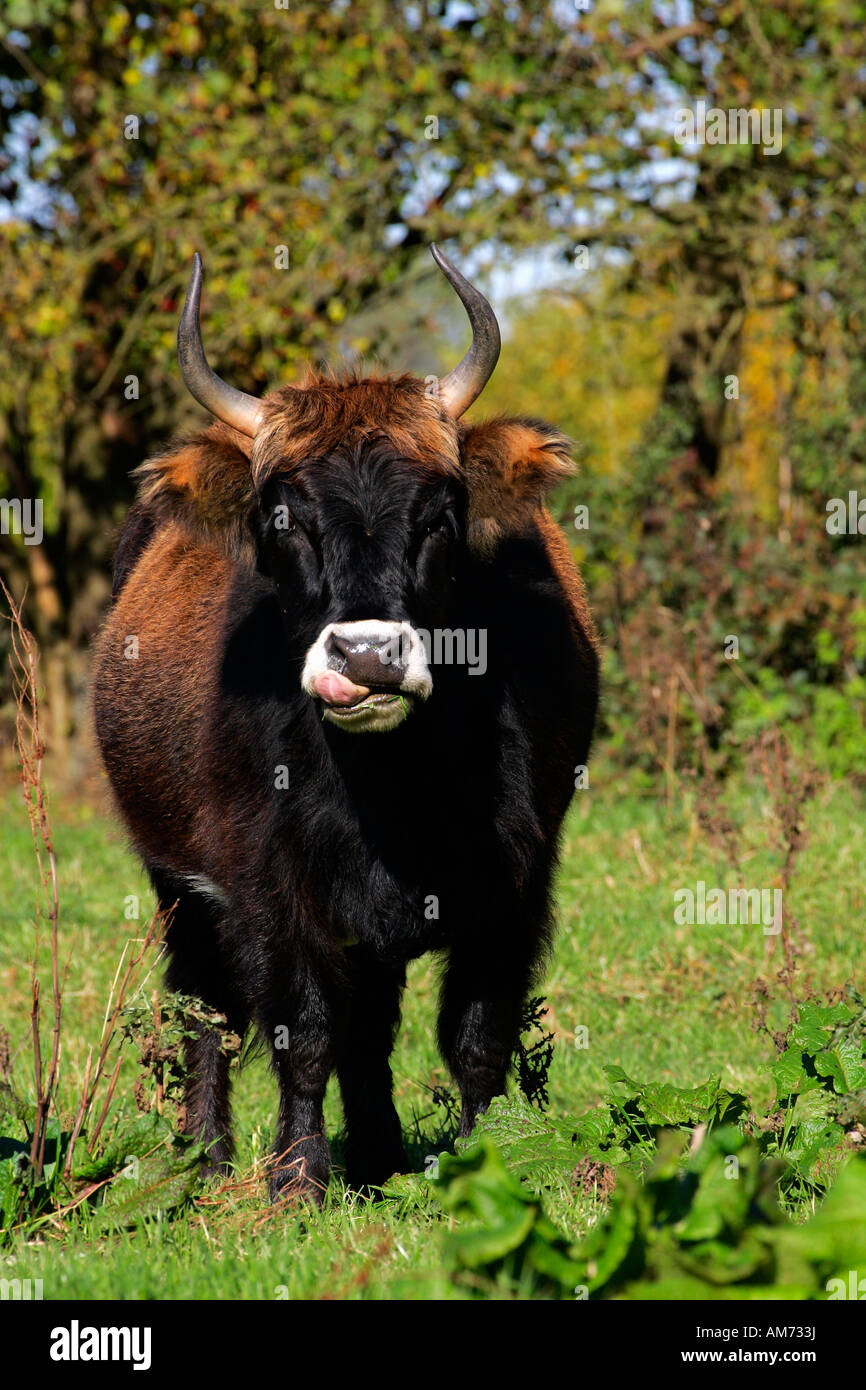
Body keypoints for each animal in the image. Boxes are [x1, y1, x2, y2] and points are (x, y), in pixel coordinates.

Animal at [93, 244, 594, 1200]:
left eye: (439, 514)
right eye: (283, 517)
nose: (367, 658)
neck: (396, 785)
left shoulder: (517, 877)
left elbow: (475, 1036)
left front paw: (483, 1158)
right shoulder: (267, 885)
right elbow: (305, 1032)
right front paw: (296, 1180)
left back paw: (377, 1149)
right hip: (176, 887)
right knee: (205, 1010)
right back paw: (206, 1160)